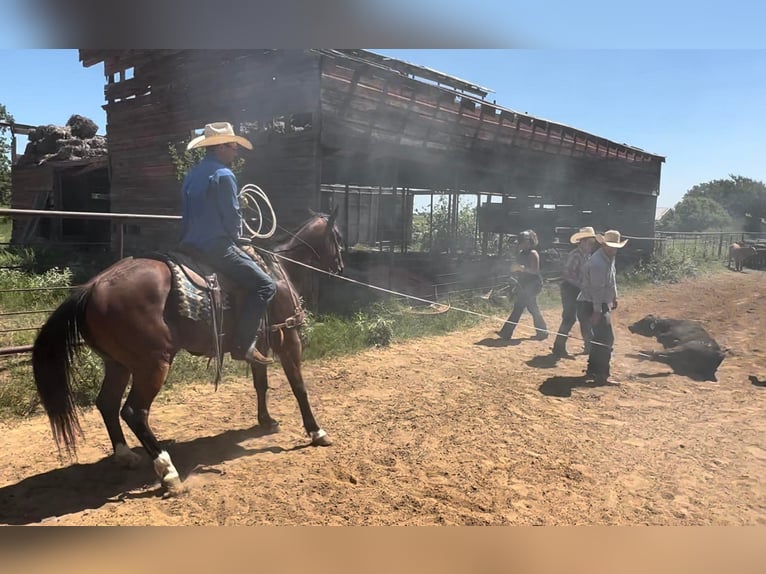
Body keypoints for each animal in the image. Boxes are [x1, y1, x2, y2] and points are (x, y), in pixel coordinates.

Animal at [30, 209, 342, 498]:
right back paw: (168, 471)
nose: (339, 267)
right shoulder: (288, 338)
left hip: (118, 364)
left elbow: (260, 383)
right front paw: (316, 431)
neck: (279, 272)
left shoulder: (261, 344)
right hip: (153, 364)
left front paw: (267, 421)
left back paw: (126, 455)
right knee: (134, 411)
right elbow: (299, 387)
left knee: (107, 403)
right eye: (337, 237)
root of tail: (92, 287)